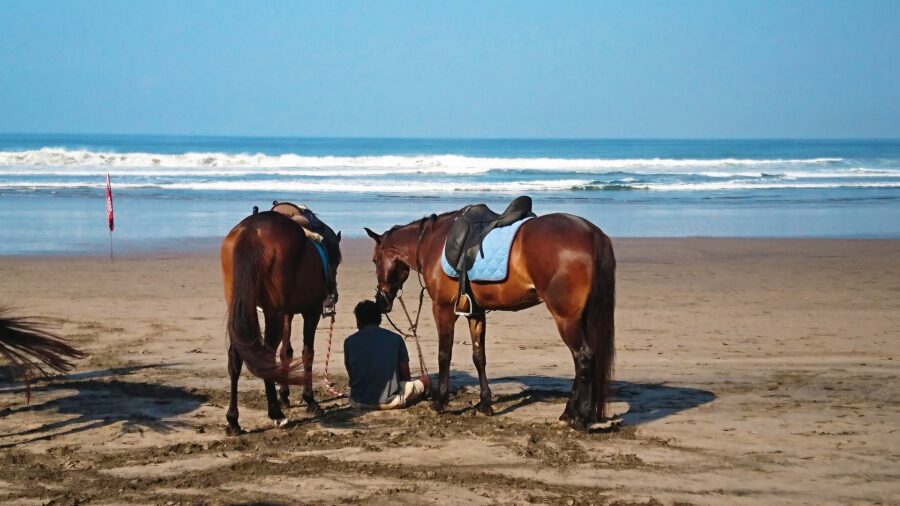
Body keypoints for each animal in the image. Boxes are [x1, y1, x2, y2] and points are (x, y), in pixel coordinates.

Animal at [220, 210, 341, 435]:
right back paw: (275, 413)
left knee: (235, 357)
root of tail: (251, 231)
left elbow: (286, 352)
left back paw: (234, 419)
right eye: (336, 262)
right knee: (266, 356)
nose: (333, 296)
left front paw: (284, 395)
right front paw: (309, 400)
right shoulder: (310, 312)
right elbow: (307, 353)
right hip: (273, 314)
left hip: (242, 309)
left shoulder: (286, 314)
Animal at [365, 208, 615, 430]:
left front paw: (439, 403)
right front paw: (485, 404)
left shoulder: (442, 309)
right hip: (581, 316)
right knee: (583, 361)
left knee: (583, 358)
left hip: (565, 318)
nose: (381, 301)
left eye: (375, 260)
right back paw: (568, 413)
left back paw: (580, 418)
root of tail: (593, 234)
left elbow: (444, 355)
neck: (433, 243)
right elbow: (479, 357)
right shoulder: (475, 313)